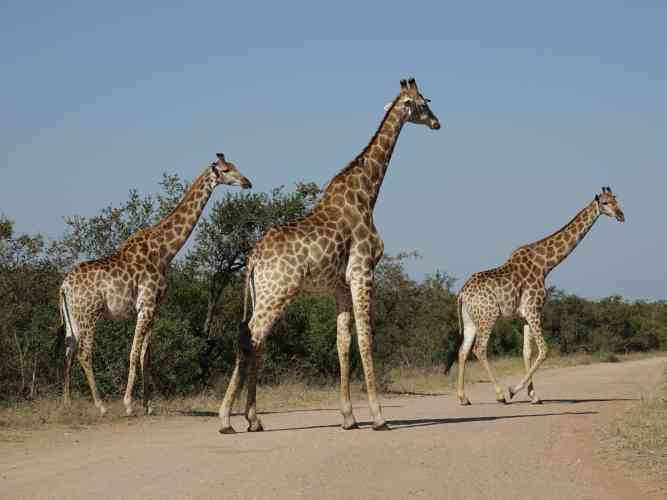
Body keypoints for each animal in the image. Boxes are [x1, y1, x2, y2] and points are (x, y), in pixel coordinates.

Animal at [57, 153, 252, 416]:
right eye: (226, 169)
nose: (247, 182)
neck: (164, 252)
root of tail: (64, 286)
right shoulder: (146, 305)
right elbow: (133, 352)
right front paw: (129, 404)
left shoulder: (155, 309)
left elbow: (145, 355)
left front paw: (147, 404)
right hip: (90, 314)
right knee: (84, 353)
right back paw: (101, 405)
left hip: (72, 318)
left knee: (68, 351)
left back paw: (66, 403)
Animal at [218, 78, 441, 434]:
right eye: (421, 103)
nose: (437, 123)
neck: (367, 193)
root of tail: (252, 259)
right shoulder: (363, 271)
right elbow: (365, 338)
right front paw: (378, 417)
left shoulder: (340, 284)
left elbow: (342, 342)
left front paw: (349, 417)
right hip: (277, 292)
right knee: (250, 337)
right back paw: (227, 419)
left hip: (264, 292)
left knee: (255, 338)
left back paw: (253, 419)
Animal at [444, 187, 625, 405]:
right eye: (605, 203)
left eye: (616, 200)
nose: (621, 215)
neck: (546, 265)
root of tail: (462, 293)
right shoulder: (534, 310)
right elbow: (544, 350)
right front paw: (514, 390)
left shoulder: (525, 315)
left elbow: (527, 352)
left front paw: (534, 395)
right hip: (488, 317)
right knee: (479, 349)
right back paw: (500, 394)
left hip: (471, 319)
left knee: (463, 351)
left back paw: (463, 398)